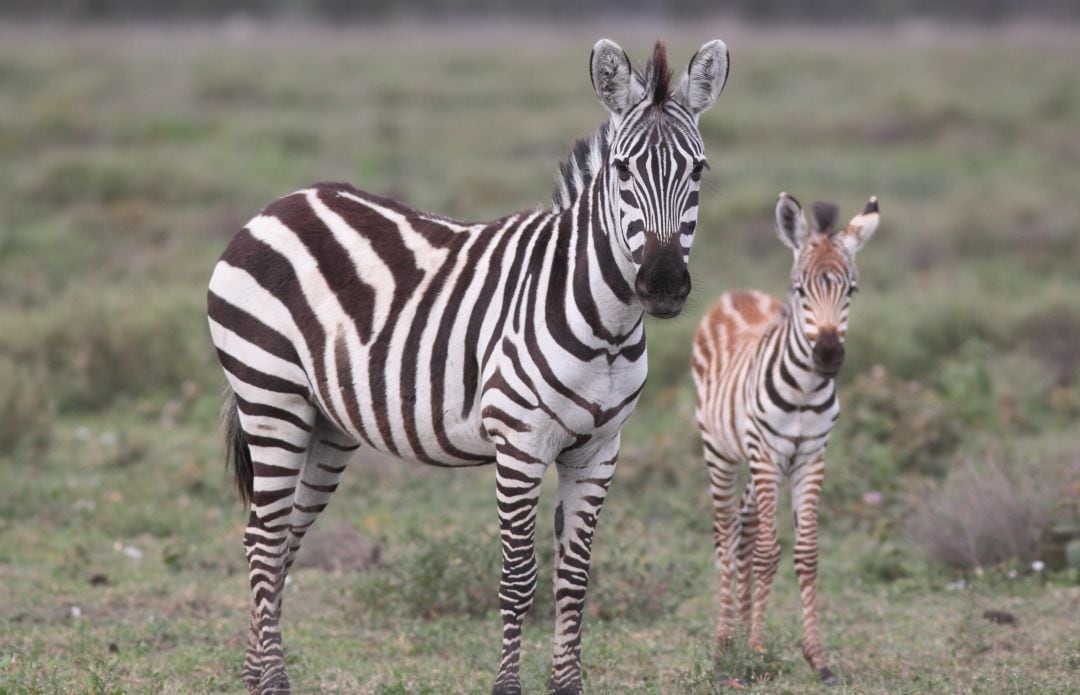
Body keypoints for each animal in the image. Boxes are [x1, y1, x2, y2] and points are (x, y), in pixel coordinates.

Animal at [206, 39, 730, 695]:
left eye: (699, 171)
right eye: (622, 171)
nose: (661, 285)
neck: (606, 327)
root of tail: (277, 206)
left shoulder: (599, 448)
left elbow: (575, 578)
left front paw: (567, 683)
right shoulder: (520, 441)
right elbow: (518, 577)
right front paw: (507, 684)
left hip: (325, 425)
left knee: (280, 541)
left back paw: (256, 672)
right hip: (271, 398)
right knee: (263, 537)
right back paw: (273, 679)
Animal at [691, 189, 876, 682]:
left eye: (851, 290)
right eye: (800, 289)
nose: (828, 354)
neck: (804, 391)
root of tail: (734, 294)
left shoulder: (811, 456)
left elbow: (805, 554)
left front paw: (817, 657)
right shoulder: (768, 455)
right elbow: (766, 553)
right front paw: (756, 648)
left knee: (744, 529)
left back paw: (736, 632)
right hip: (722, 452)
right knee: (726, 533)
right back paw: (724, 642)